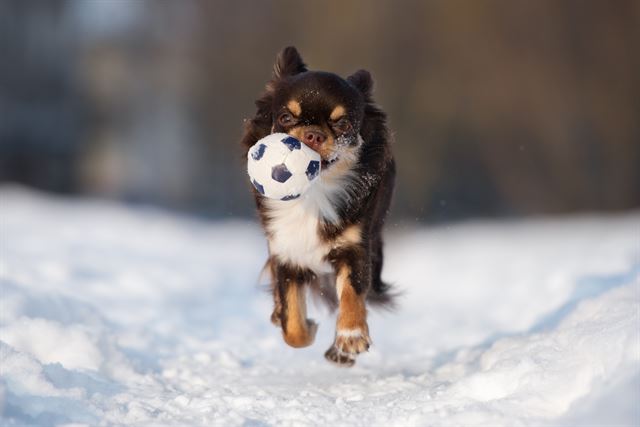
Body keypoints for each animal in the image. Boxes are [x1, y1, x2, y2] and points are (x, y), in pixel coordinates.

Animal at [241, 46, 396, 368]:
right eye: (286, 117)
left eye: (343, 124)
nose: (312, 134)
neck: (313, 194)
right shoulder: (285, 250)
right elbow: (292, 327)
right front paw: (303, 326)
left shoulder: (354, 247)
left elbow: (352, 293)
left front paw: (350, 337)